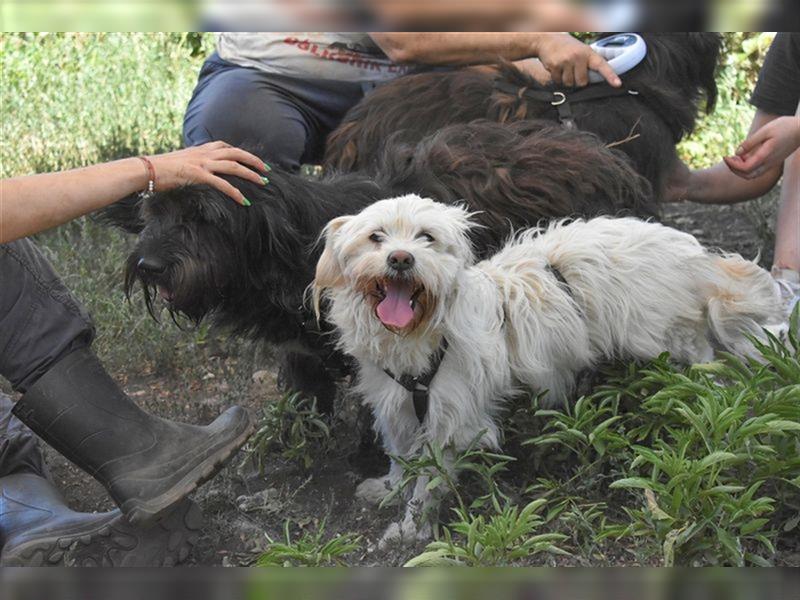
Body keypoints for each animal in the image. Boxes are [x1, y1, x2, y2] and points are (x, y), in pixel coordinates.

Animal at [106, 122, 652, 412]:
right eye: (154, 211)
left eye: (204, 217)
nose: (150, 265)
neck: (292, 242)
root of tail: (613, 158)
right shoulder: (304, 349)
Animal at [310, 195, 780, 548]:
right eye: (375, 237)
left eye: (426, 237)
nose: (401, 258)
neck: (420, 335)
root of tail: (690, 250)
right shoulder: (398, 405)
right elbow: (397, 451)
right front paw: (390, 487)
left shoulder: (449, 419)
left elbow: (428, 481)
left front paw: (411, 529)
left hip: (669, 337)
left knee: (706, 358)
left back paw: (709, 397)